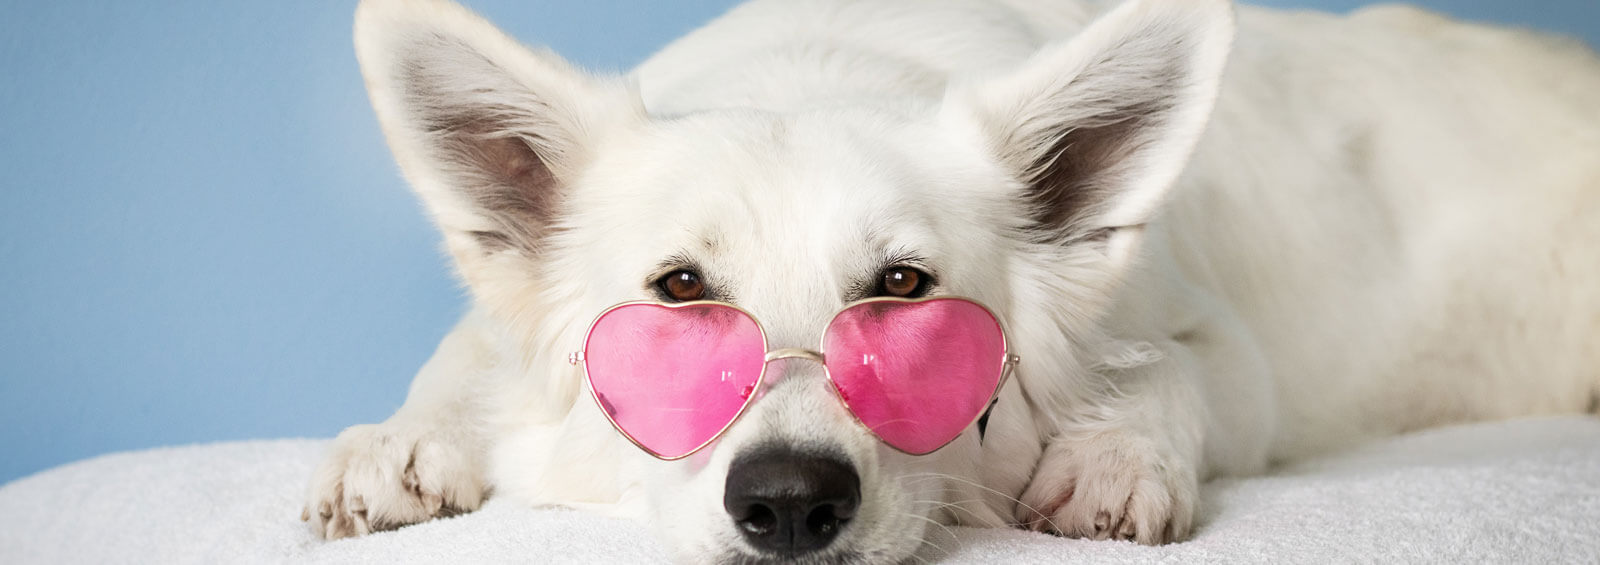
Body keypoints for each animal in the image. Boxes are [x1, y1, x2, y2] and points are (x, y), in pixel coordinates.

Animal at [302, 0, 1600, 560]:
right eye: (678, 292)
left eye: (903, 287)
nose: (788, 504)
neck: (817, 69)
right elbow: (463, 357)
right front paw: (399, 442)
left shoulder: (1228, 352)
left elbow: (1166, 376)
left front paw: (1112, 457)